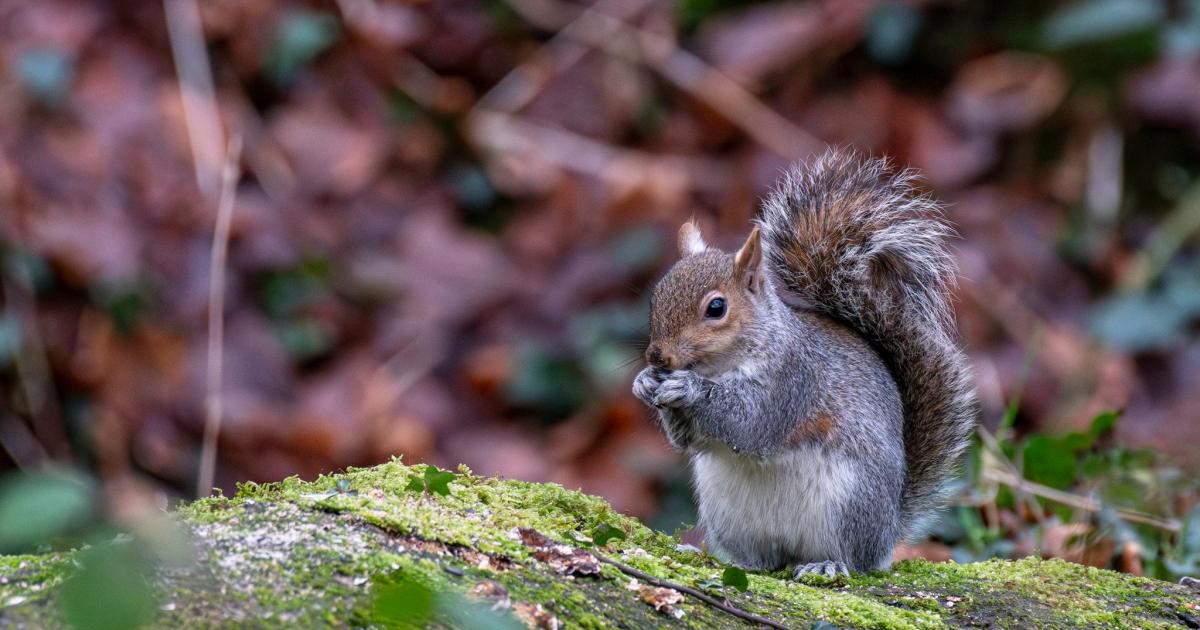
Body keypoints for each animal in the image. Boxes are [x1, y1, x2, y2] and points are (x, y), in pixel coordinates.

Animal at [632, 149, 977, 578]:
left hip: (849, 503)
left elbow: (748, 423)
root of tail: (888, 531)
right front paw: (645, 382)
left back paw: (827, 565)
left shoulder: (792, 381)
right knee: (761, 560)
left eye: (716, 308)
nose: (657, 357)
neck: (722, 366)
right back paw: (724, 558)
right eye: (656, 296)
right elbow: (686, 440)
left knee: (853, 559)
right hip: (729, 514)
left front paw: (689, 389)